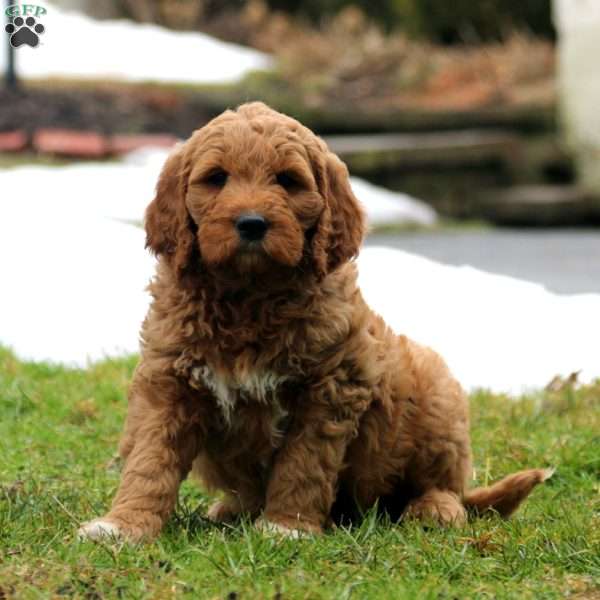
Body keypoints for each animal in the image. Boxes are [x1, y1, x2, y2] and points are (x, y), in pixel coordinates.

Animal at [79, 101, 552, 540]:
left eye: (288, 181)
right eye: (216, 178)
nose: (252, 223)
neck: (248, 297)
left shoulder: (329, 388)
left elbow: (302, 465)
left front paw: (286, 527)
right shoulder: (169, 380)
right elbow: (150, 457)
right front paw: (123, 524)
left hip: (436, 396)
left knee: (446, 486)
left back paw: (434, 509)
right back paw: (231, 510)